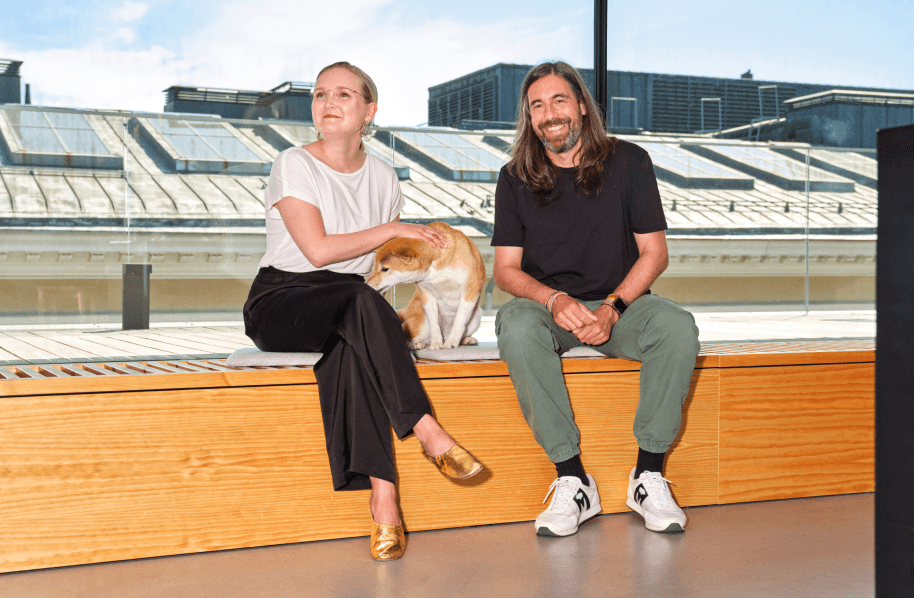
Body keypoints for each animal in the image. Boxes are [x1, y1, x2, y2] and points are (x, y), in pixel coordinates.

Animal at [366, 223, 488, 352]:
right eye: (374, 267)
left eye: (384, 269)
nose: (366, 283)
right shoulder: (425, 295)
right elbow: (433, 323)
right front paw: (436, 343)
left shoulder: (471, 290)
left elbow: (459, 321)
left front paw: (452, 341)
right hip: (421, 324)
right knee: (406, 336)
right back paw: (416, 344)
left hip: (475, 318)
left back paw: (465, 339)